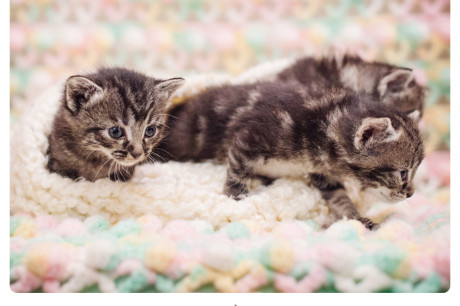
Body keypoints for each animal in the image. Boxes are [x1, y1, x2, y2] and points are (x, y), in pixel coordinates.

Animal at [155, 81, 424, 230]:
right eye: (403, 172)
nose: (411, 194)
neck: (324, 124)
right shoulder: (249, 136)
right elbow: (238, 170)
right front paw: (236, 197)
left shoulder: (323, 173)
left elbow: (339, 197)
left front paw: (358, 219)